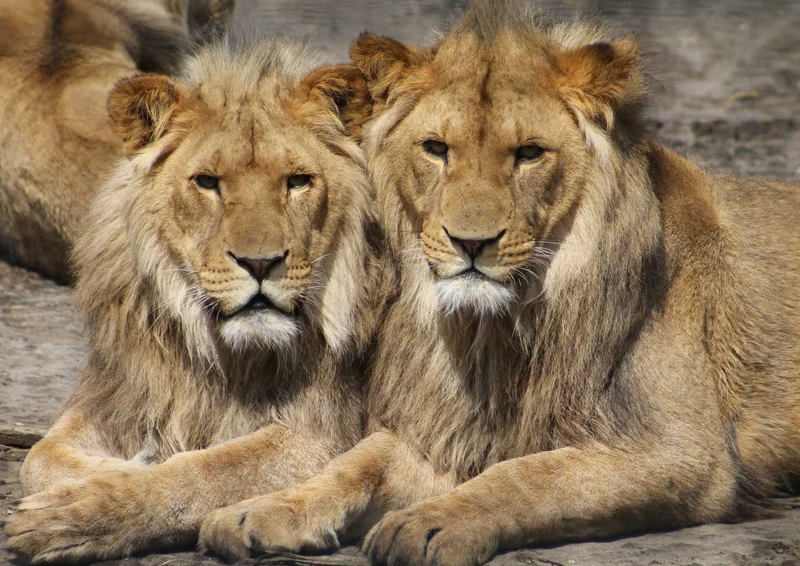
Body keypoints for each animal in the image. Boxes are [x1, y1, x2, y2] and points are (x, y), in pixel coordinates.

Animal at [4, 36, 385, 564]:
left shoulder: (321, 433)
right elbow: (39, 458)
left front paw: (76, 512)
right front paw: (118, 468)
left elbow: (206, 470)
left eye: (297, 181)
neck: (219, 352)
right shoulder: (127, 392)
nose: (261, 263)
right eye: (207, 182)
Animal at [198, 1, 800, 565]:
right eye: (436, 149)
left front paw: (429, 523)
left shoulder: (685, 453)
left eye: (529, 153)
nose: (471, 243)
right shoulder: (451, 431)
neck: (496, 331)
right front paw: (265, 509)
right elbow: (360, 460)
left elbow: (529, 475)